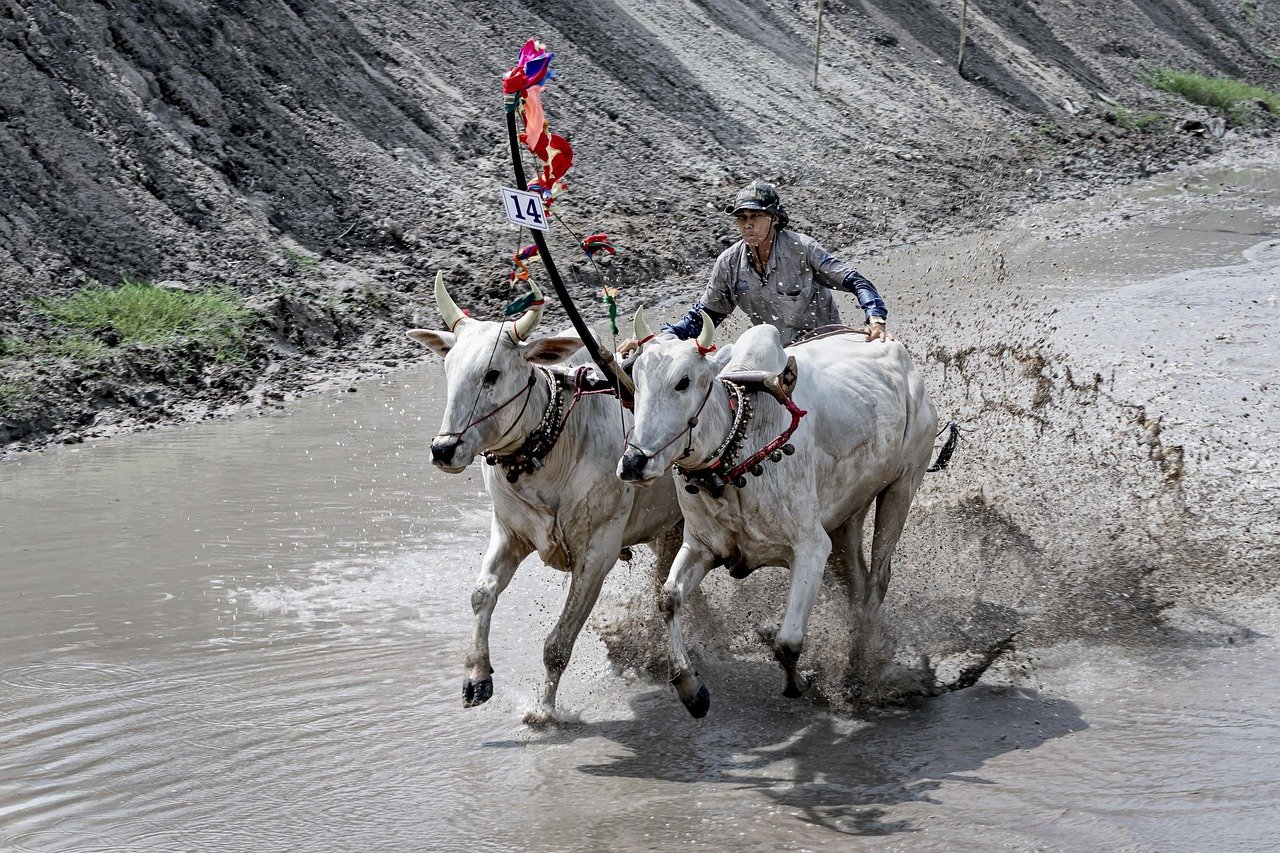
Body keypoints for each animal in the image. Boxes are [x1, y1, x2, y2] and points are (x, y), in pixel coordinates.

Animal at [407, 274, 684, 724]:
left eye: (492, 374)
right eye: (449, 369)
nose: (444, 449)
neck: (551, 450)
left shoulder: (598, 554)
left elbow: (557, 645)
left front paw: (543, 711)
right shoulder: (509, 532)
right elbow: (481, 593)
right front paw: (476, 678)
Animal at [617, 313, 938, 718]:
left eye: (683, 382)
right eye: (635, 380)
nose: (633, 462)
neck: (736, 453)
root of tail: (899, 354)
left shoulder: (811, 547)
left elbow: (787, 641)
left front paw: (801, 681)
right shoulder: (701, 547)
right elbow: (669, 598)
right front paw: (691, 689)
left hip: (902, 485)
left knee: (876, 582)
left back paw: (855, 676)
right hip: (850, 512)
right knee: (858, 582)